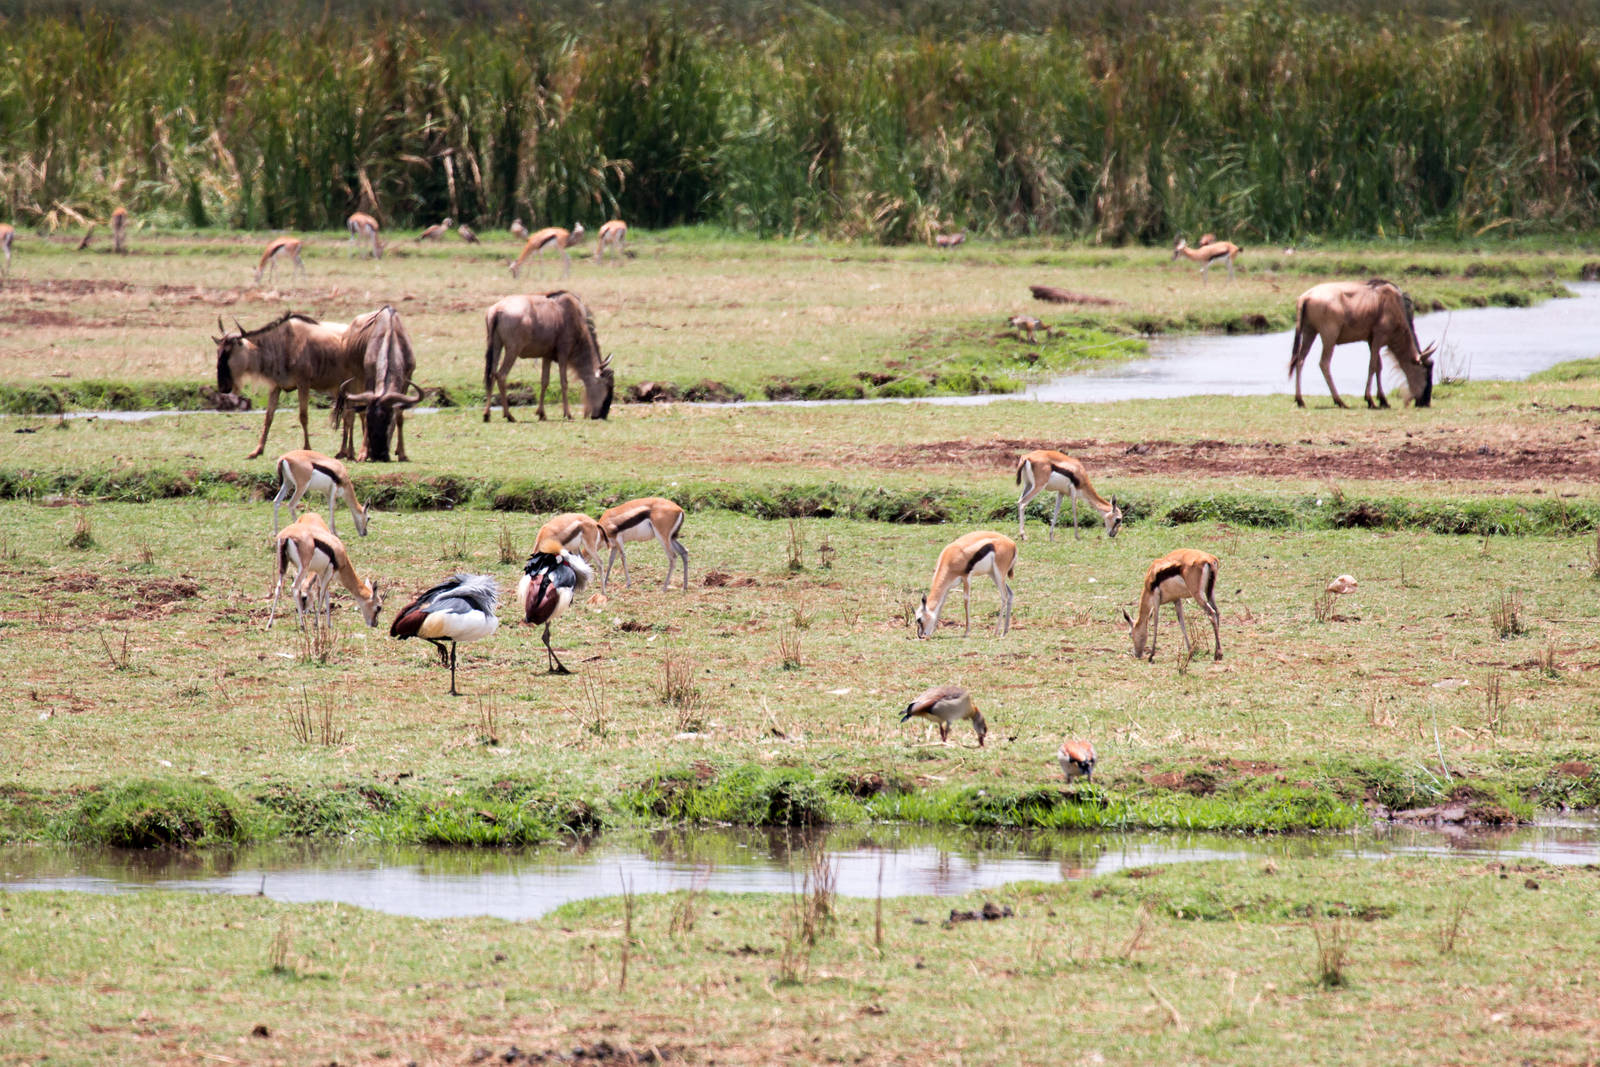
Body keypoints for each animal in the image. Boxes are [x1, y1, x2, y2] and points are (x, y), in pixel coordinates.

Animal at [1289, 279, 1436, 408]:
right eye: (1426, 373)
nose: (1425, 402)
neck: (1394, 305)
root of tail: (1305, 297)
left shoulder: (1371, 340)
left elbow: (1378, 366)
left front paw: (1383, 400)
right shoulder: (1378, 338)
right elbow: (1372, 366)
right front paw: (1370, 399)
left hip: (1309, 332)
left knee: (1300, 360)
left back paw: (1300, 400)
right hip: (1329, 337)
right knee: (1324, 363)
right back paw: (1339, 401)